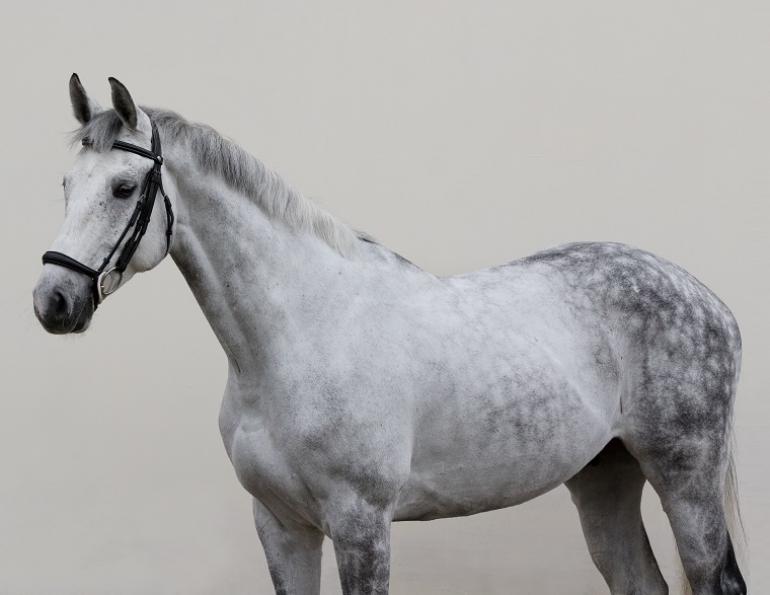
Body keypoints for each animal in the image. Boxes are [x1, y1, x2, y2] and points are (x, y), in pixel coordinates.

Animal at [33, 74, 747, 595]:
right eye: (66, 184)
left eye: (124, 186)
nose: (53, 301)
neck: (298, 338)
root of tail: (710, 301)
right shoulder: (281, 524)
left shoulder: (362, 525)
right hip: (604, 476)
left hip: (684, 476)